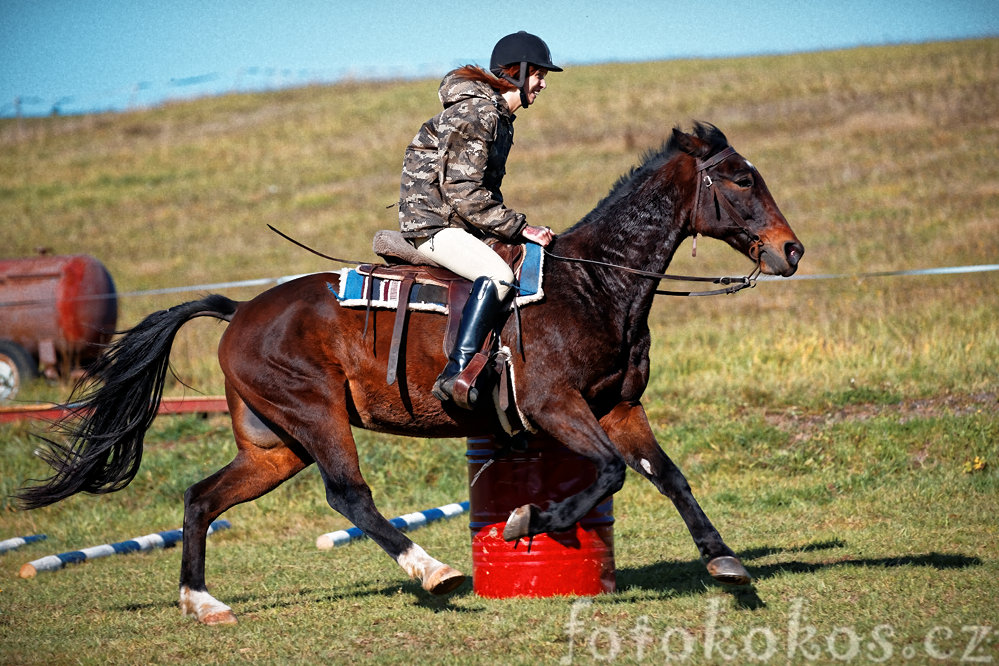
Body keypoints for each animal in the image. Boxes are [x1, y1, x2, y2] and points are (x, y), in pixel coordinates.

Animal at [17, 123, 804, 624]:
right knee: (350, 497)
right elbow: (609, 473)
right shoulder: (557, 406)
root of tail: (241, 311)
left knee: (201, 499)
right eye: (740, 179)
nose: (791, 251)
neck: (593, 283)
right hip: (316, 418)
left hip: (274, 446)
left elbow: (669, 476)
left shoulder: (617, 409)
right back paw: (432, 570)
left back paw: (201, 602)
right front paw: (529, 519)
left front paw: (724, 561)